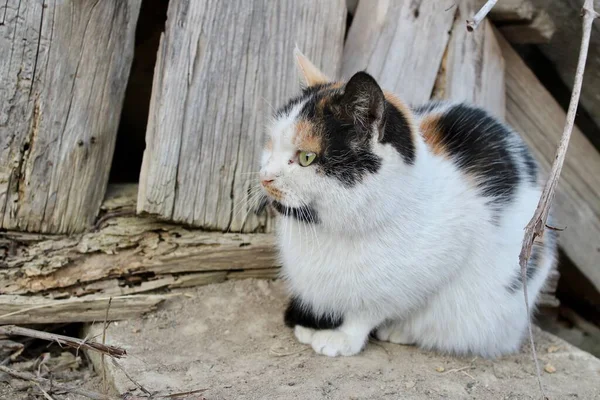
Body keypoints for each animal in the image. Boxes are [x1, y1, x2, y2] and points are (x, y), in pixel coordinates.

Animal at [258, 48, 556, 358]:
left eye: (307, 157)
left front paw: (342, 339)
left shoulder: (428, 270)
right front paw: (312, 325)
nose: (264, 177)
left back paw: (399, 332)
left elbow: (366, 312)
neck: (335, 230)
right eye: (271, 144)